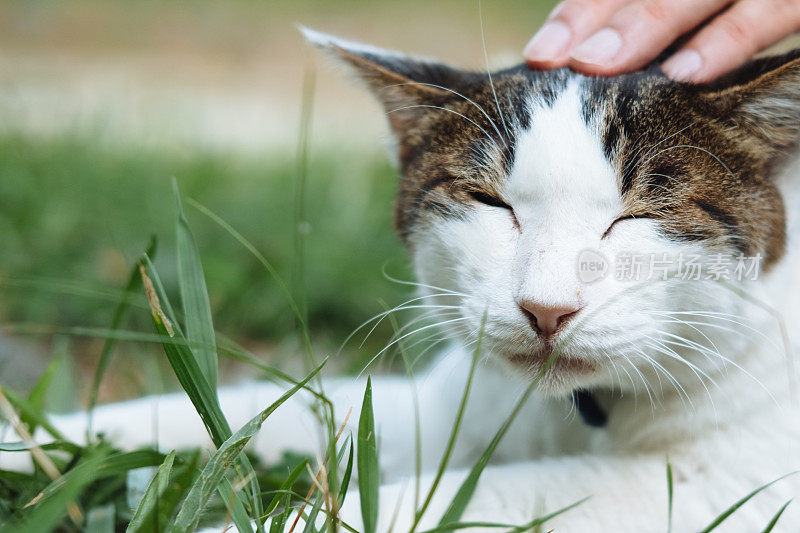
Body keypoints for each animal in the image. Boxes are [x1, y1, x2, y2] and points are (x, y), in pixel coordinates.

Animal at [4, 30, 800, 532]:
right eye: (489, 202)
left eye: (641, 215)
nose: (545, 309)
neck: (571, 413)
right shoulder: (438, 408)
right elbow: (241, 411)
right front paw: (27, 434)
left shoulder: (713, 490)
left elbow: (436, 502)